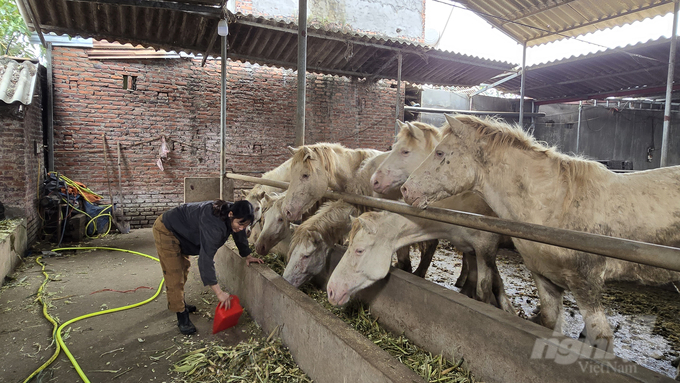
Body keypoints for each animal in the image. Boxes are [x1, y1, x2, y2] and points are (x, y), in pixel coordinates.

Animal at [402, 114, 680, 356]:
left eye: (440, 153)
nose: (406, 190)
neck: (556, 205)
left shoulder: (586, 285)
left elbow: (601, 338)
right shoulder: (545, 279)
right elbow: (548, 322)